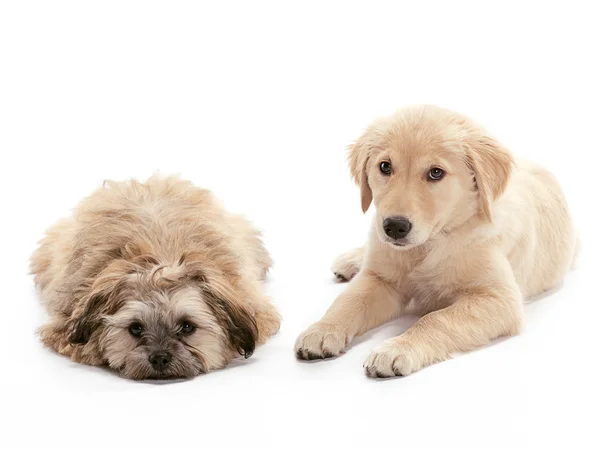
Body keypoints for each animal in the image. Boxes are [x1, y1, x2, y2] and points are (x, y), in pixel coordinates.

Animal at [296, 104, 576, 374]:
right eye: (385, 166)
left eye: (436, 173)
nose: (394, 227)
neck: (430, 244)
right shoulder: (380, 279)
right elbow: (349, 301)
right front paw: (322, 329)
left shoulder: (498, 299)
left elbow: (436, 320)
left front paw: (398, 347)